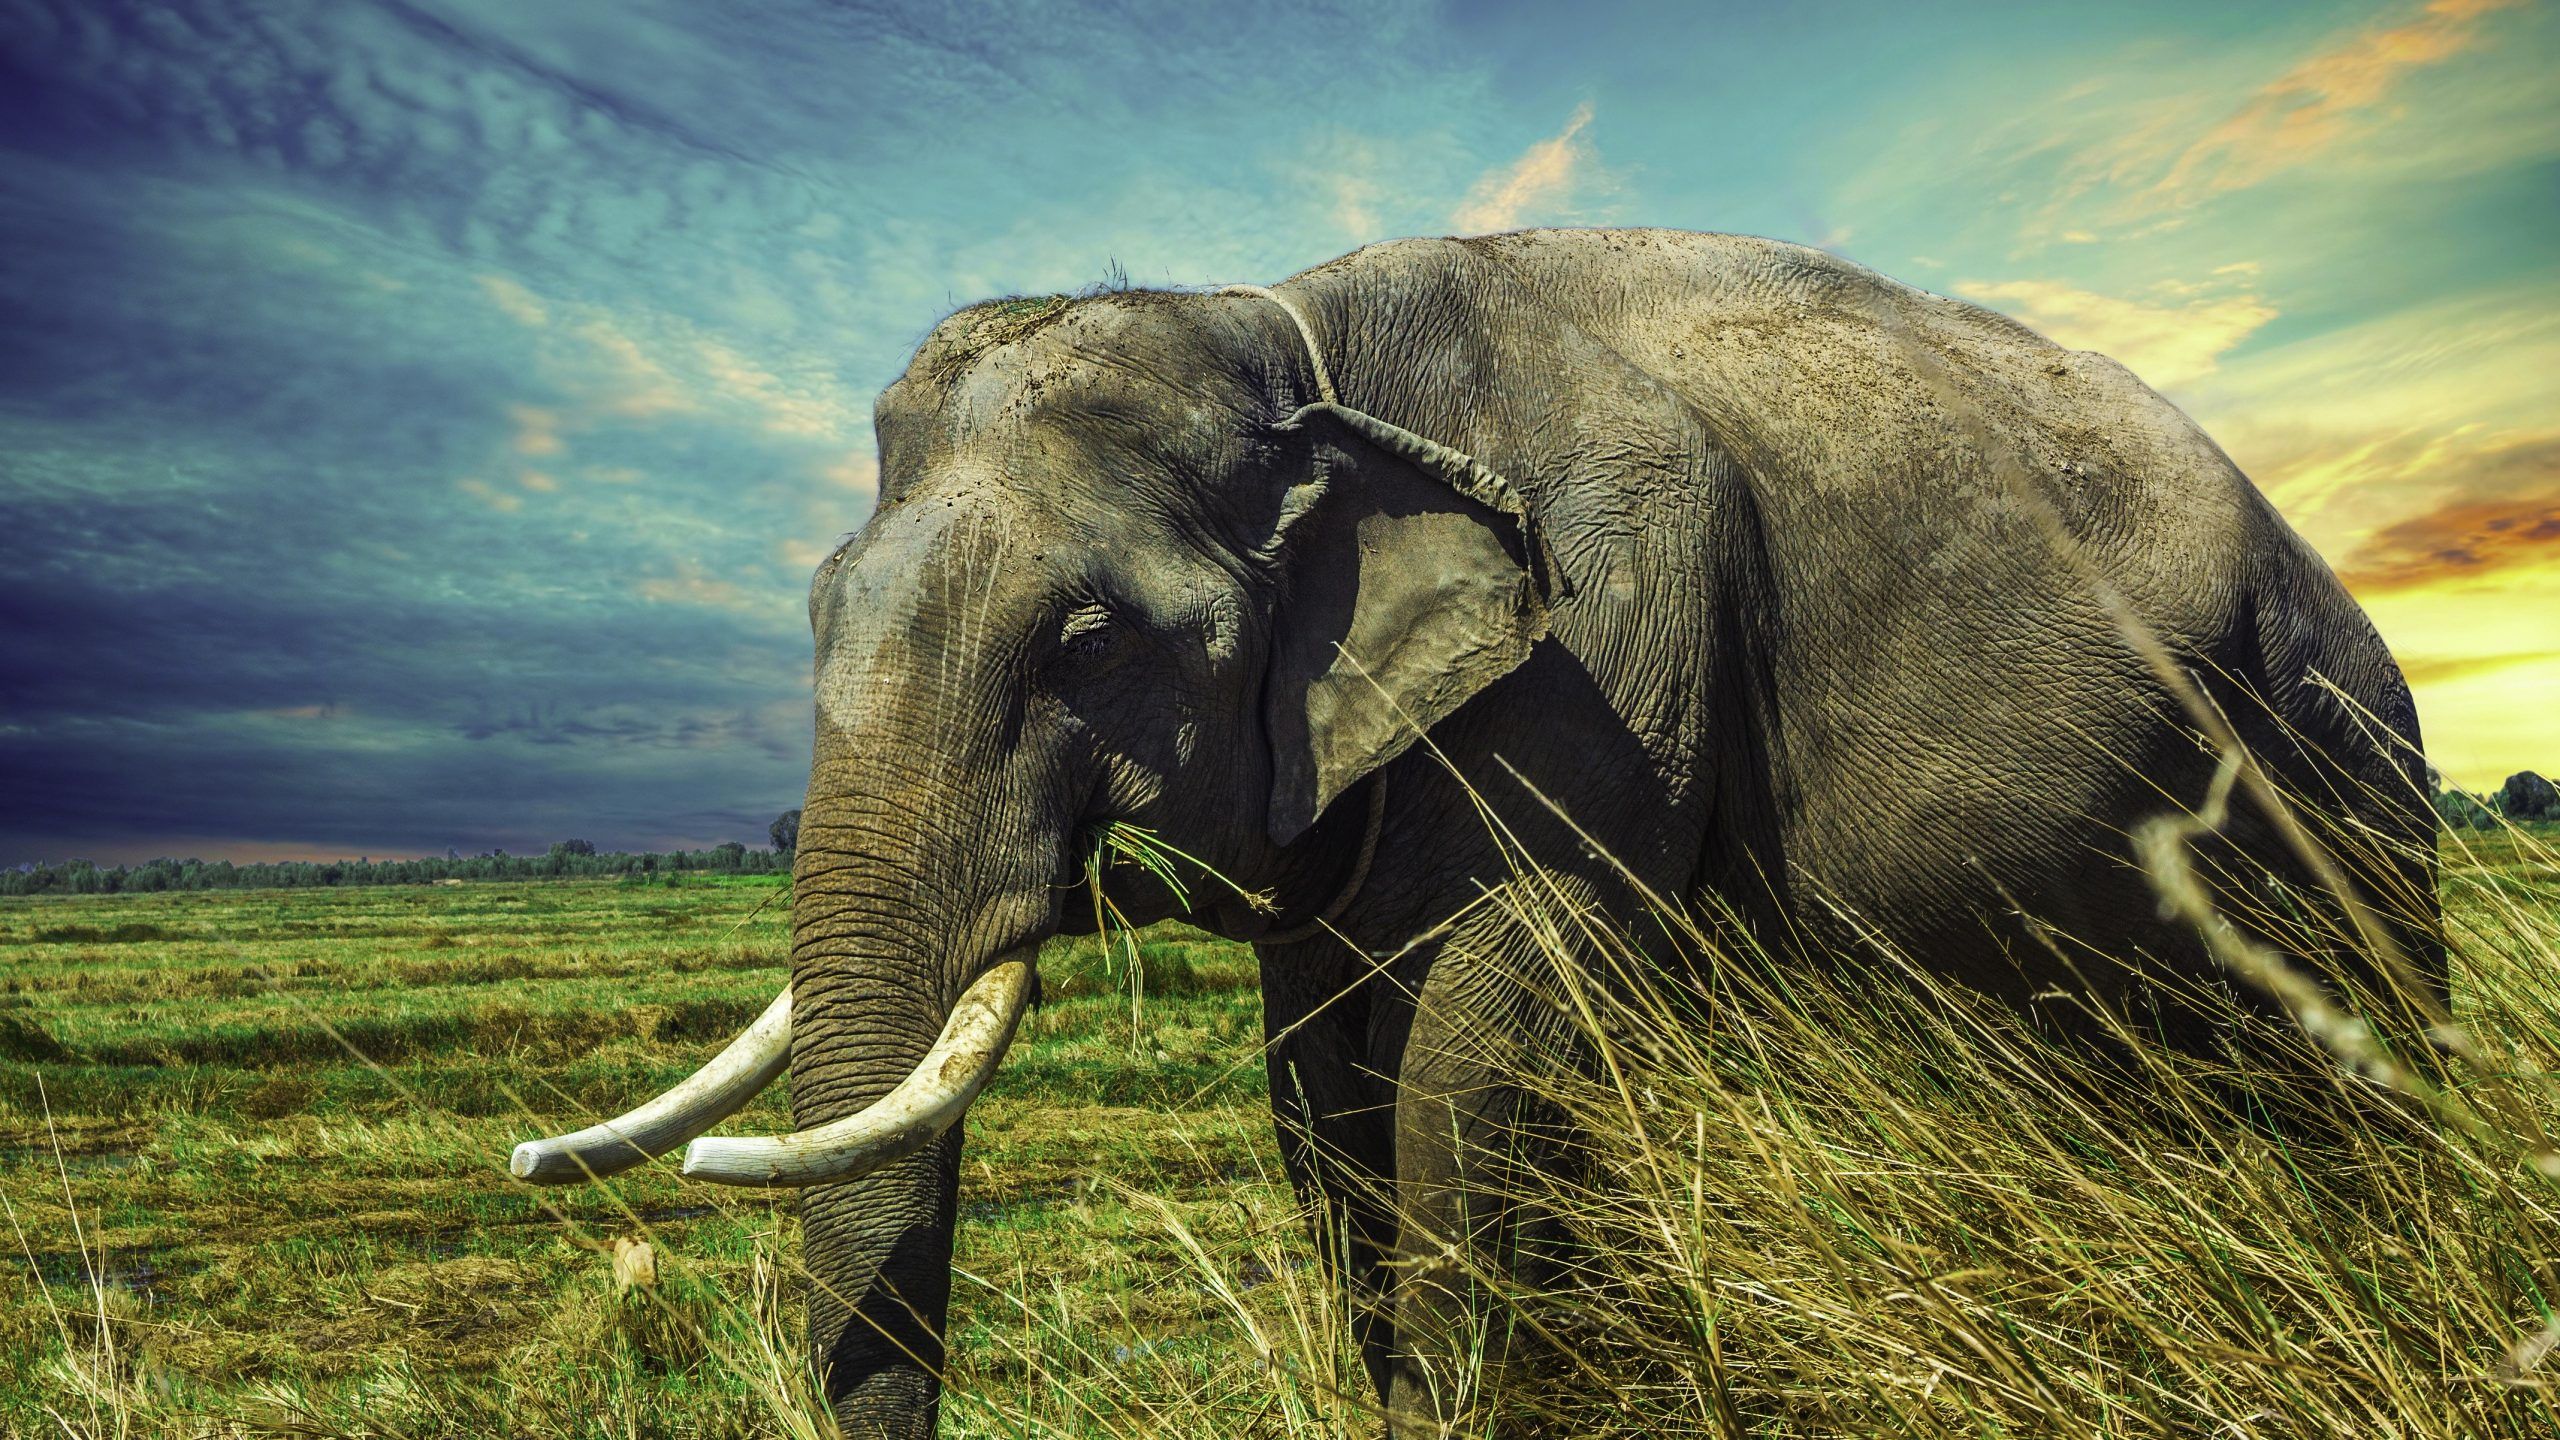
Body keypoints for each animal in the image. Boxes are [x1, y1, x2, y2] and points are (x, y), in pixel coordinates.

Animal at [512, 228, 2443, 1437]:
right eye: (815, 609)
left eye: (1086, 642)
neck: (1290, 336)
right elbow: (1322, 1091)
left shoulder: (1613, 637)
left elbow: (1480, 1047)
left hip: (2350, 760)